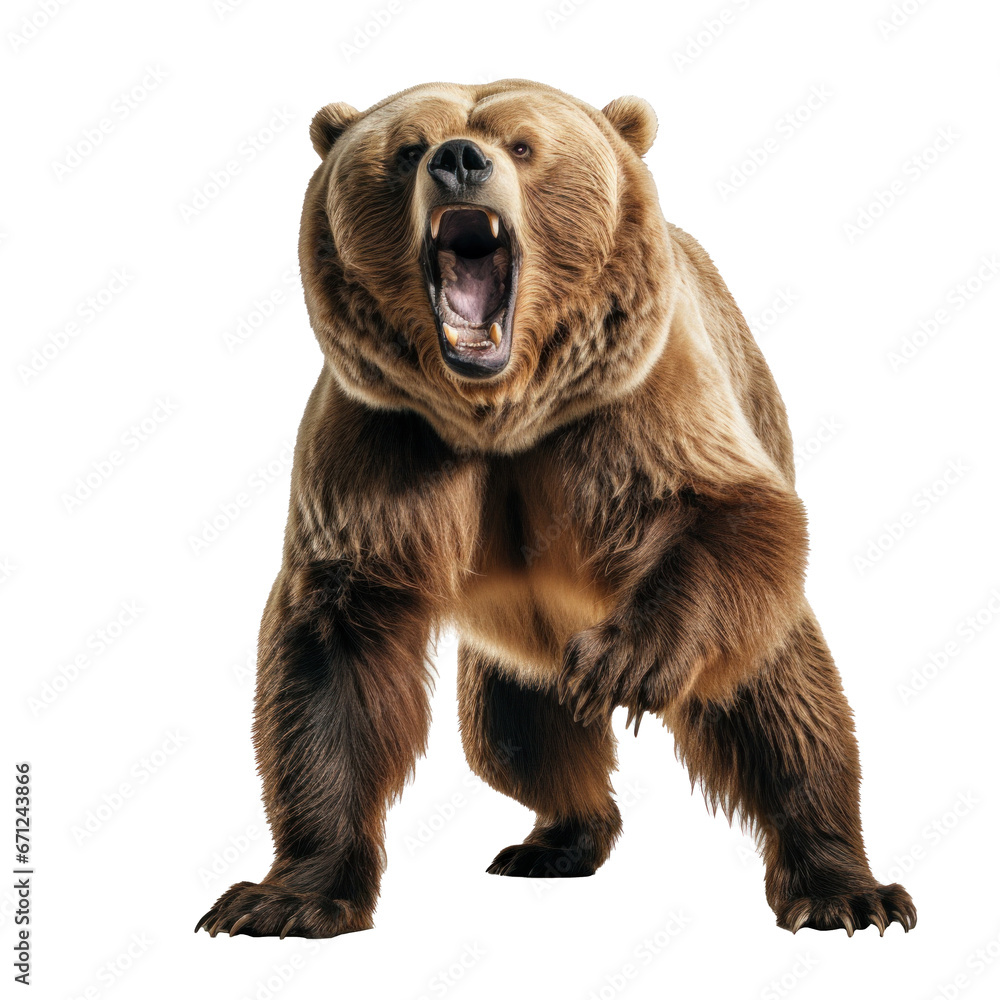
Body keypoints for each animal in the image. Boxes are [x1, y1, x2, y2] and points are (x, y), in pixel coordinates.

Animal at [195, 79, 916, 939]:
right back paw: (557, 837)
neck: (500, 413)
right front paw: (282, 898)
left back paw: (846, 888)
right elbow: (336, 645)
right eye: (408, 147)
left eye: (523, 144)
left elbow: (722, 510)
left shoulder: (635, 401)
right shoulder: (381, 442)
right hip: (512, 662)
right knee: (514, 740)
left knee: (787, 710)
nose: (459, 159)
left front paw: (622, 662)